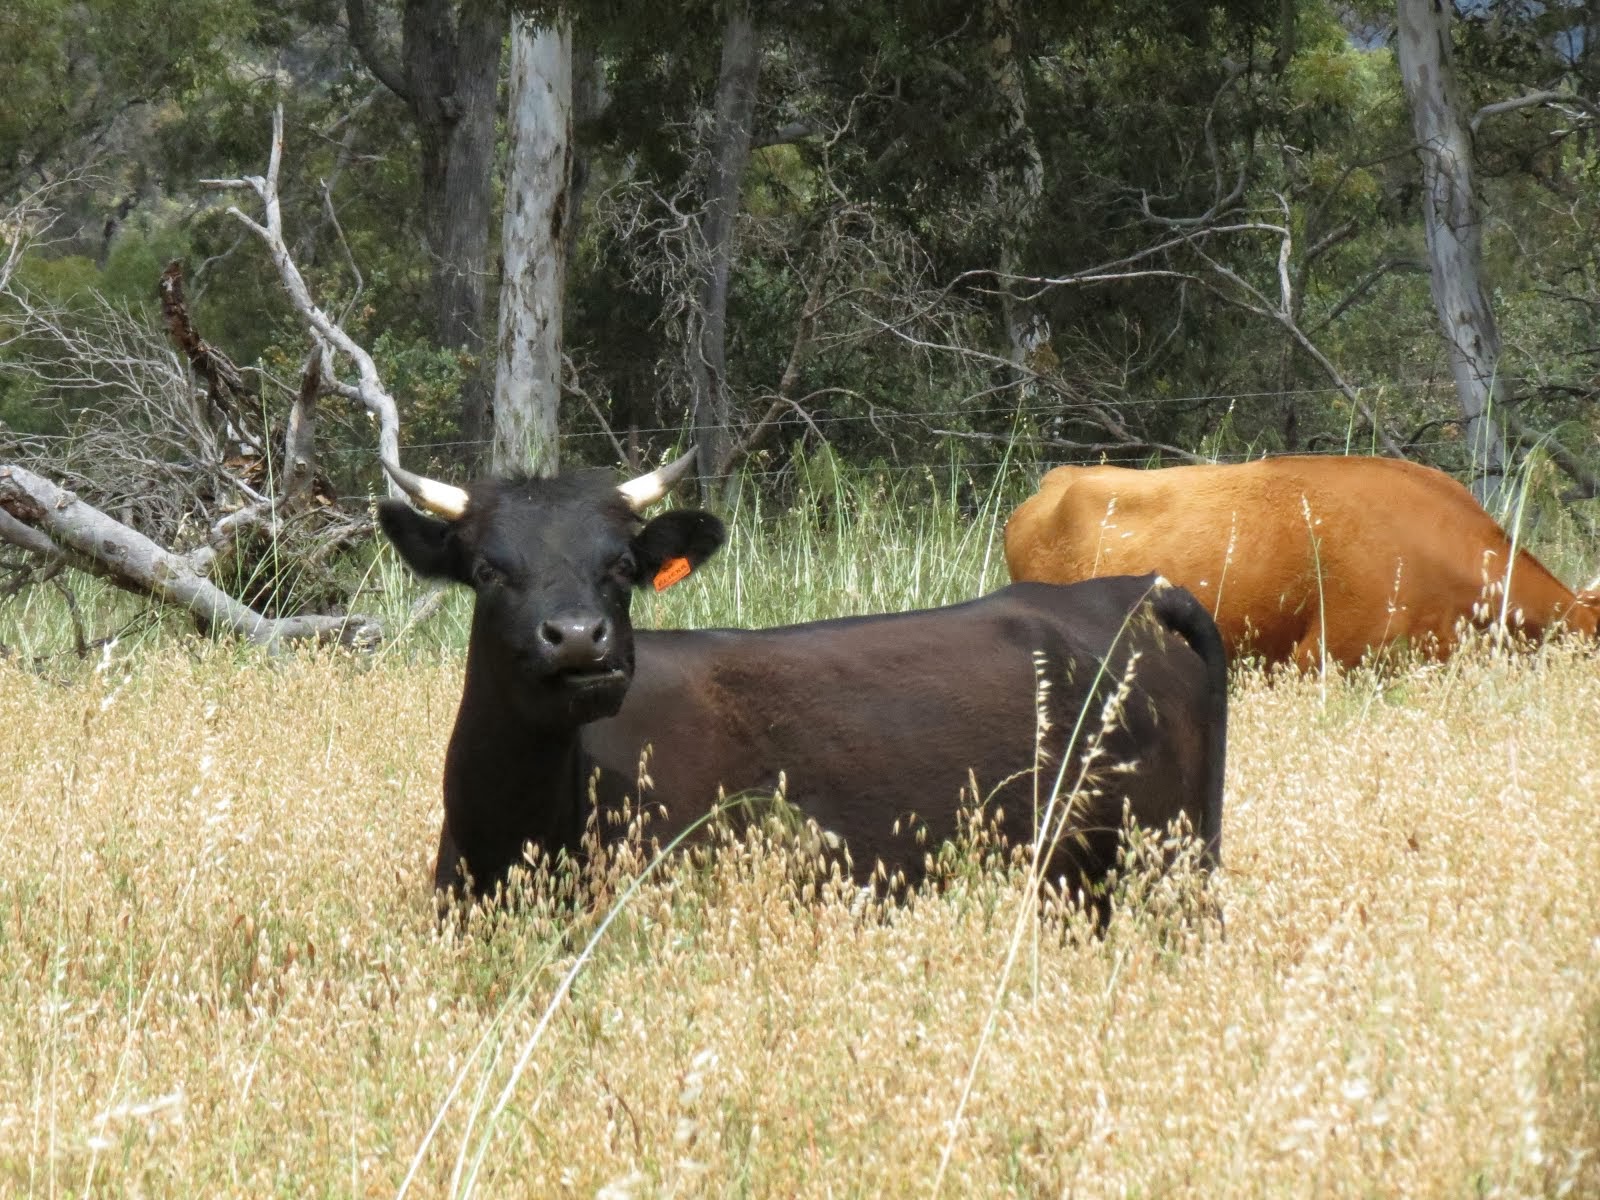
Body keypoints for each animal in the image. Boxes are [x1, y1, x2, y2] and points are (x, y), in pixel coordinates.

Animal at [380, 454, 1228, 908]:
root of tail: (1133, 591)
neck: (518, 827)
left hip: (1170, 870)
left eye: (621, 565)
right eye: (489, 570)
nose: (582, 639)